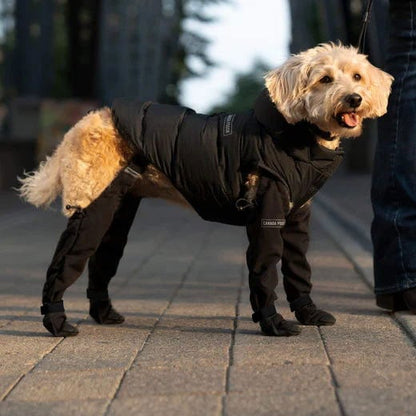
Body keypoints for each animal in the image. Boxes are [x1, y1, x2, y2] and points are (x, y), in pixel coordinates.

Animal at [17, 44, 394, 338]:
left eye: (357, 77)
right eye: (325, 79)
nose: (355, 99)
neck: (296, 136)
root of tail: (83, 122)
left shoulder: (297, 218)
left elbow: (299, 268)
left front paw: (308, 313)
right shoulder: (267, 218)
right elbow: (265, 272)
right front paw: (273, 324)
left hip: (118, 209)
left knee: (102, 261)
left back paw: (104, 314)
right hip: (91, 205)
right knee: (66, 261)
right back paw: (55, 320)